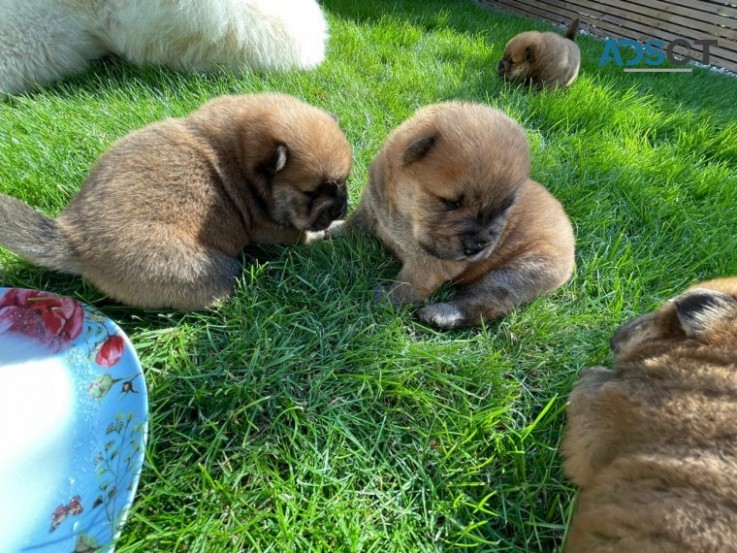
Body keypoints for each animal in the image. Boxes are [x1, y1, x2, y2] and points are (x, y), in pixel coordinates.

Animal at [0, 92, 352, 308]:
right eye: (311, 193)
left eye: (344, 182)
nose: (339, 207)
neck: (240, 155)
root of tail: (74, 238)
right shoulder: (272, 229)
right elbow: (302, 234)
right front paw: (329, 233)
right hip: (213, 267)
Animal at [344, 101, 576, 328]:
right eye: (452, 202)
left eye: (504, 209)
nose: (477, 247)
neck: (402, 215)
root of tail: (571, 235)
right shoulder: (369, 210)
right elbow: (349, 226)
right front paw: (333, 232)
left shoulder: (431, 266)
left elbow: (407, 286)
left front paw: (377, 301)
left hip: (519, 273)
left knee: (483, 301)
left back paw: (441, 314)